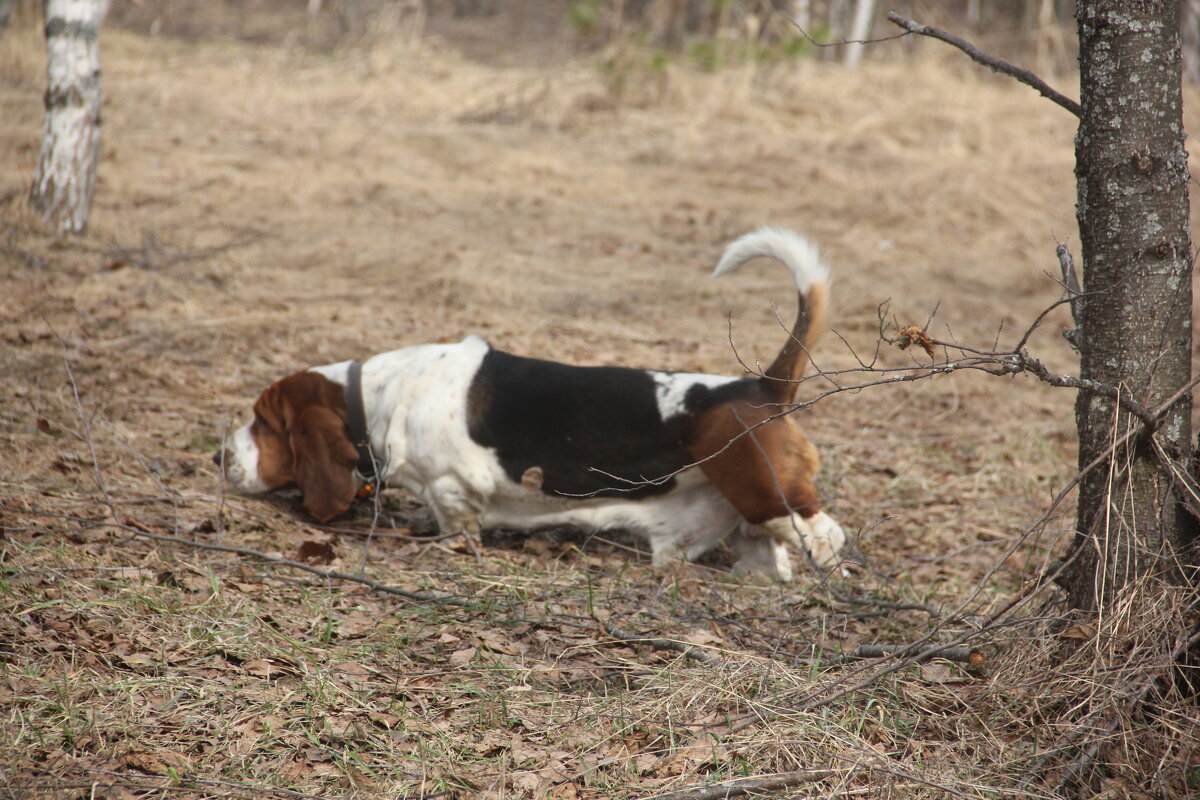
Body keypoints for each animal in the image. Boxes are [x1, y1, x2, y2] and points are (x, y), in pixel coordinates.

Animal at [213, 227, 844, 578]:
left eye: (264, 423)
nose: (218, 458)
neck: (379, 395)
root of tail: (761, 387)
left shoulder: (454, 488)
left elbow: (457, 525)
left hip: (771, 496)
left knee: (826, 537)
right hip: (735, 529)